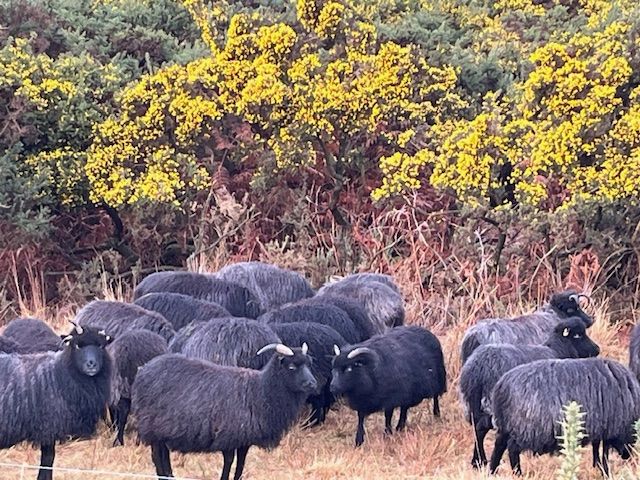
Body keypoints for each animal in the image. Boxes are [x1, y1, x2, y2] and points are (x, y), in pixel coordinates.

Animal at [0, 322, 112, 480]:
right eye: (77, 345)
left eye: (101, 346)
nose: (91, 364)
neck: (59, 373)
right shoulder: (48, 427)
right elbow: (48, 459)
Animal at [131, 343, 318, 480]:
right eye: (292, 367)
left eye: (309, 365)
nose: (312, 384)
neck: (259, 391)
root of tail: (143, 370)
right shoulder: (229, 435)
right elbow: (229, 462)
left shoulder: (244, 439)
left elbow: (241, 463)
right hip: (152, 425)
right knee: (157, 455)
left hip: (163, 428)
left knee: (163, 454)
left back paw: (169, 476)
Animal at [459, 317, 601, 468]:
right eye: (577, 335)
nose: (597, 349)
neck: (557, 350)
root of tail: (478, 369)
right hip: (491, 402)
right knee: (482, 427)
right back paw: (481, 460)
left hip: (473, 402)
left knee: (477, 428)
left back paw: (478, 460)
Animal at [489, 357, 640, 476]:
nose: (626, 456)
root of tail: (502, 386)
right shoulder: (610, 427)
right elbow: (604, 452)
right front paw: (605, 472)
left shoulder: (599, 427)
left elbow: (596, 448)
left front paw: (597, 467)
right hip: (526, 429)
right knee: (512, 449)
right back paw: (518, 473)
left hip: (507, 425)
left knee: (499, 445)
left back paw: (492, 471)